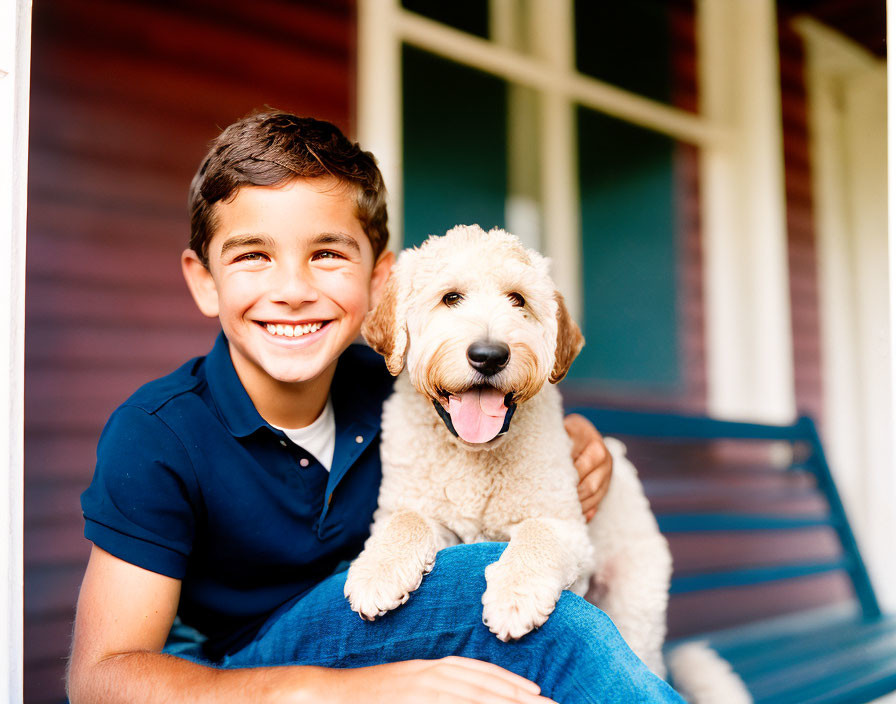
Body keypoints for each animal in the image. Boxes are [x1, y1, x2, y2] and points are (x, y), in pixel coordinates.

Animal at [344, 226, 672, 676]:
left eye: (518, 299)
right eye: (450, 297)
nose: (489, 356)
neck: (473, 454)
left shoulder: (568, 528)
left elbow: (537, 532)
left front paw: (516, 595)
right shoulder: (409, 509)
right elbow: (406, 520)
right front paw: (377, 573)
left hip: (636, 605)